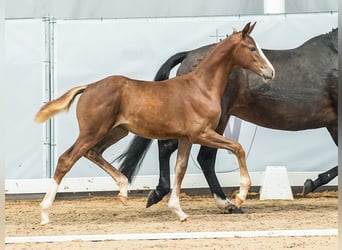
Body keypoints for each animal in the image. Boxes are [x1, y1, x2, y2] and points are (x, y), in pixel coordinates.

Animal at [35, 22, 276, 224]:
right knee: (66, 159)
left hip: (116, 132)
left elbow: (180, 168)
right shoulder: (201, 133)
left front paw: (178, 211)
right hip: (92, 131)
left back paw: (123, 190)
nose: (271, 72)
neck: (201, 87)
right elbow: (238, 148)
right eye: (252, 48)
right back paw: (45, 213)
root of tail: (89, 87)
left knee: (93, 152)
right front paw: (241, 195)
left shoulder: (186, 138)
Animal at [119, 28, 338, 209]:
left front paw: (311, 183)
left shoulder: (333, 124)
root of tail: (188, 55)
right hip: (209, 122)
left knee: (194, 154)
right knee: (194, 154)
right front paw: (310, 184)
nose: (271, 72)